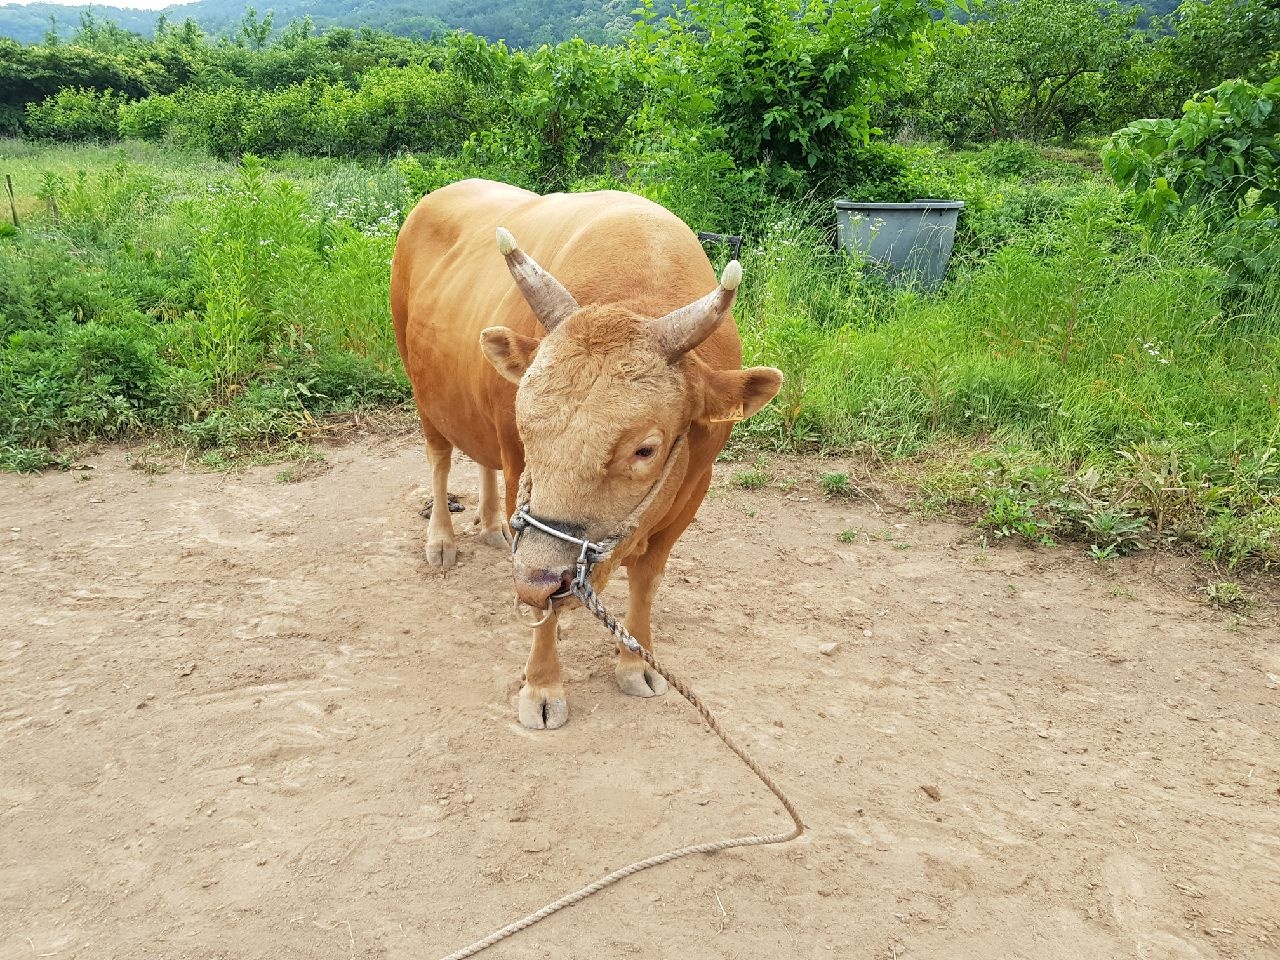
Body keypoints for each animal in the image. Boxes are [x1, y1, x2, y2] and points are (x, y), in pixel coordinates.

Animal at [389, 180, 778, 732]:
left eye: (645, 449)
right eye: (527, 426)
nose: (535, 581)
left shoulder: (692, 492)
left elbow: (646, 582)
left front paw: (636, 662)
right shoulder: (520, 473)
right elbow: (544, 612)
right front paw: (542, 685)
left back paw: (491, 525)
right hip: (423, 392)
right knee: (440, 459)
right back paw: (442, 539)